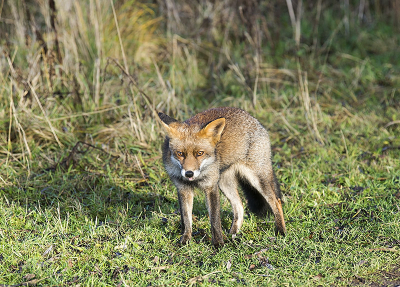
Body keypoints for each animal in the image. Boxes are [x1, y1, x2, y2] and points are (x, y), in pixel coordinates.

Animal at [158, 107, 286, 246]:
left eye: (200, 153)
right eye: (180, 153)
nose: (189, 173)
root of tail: (253, 118)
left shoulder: (211, 187)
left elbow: (214, 220)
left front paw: (218, 244)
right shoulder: (183, 189)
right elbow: (186, 219)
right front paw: (185, 241)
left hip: (257, 179)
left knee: (276, 201)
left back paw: (281, 231)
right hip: (224, 183)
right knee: (240, 207)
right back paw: (232, 234)